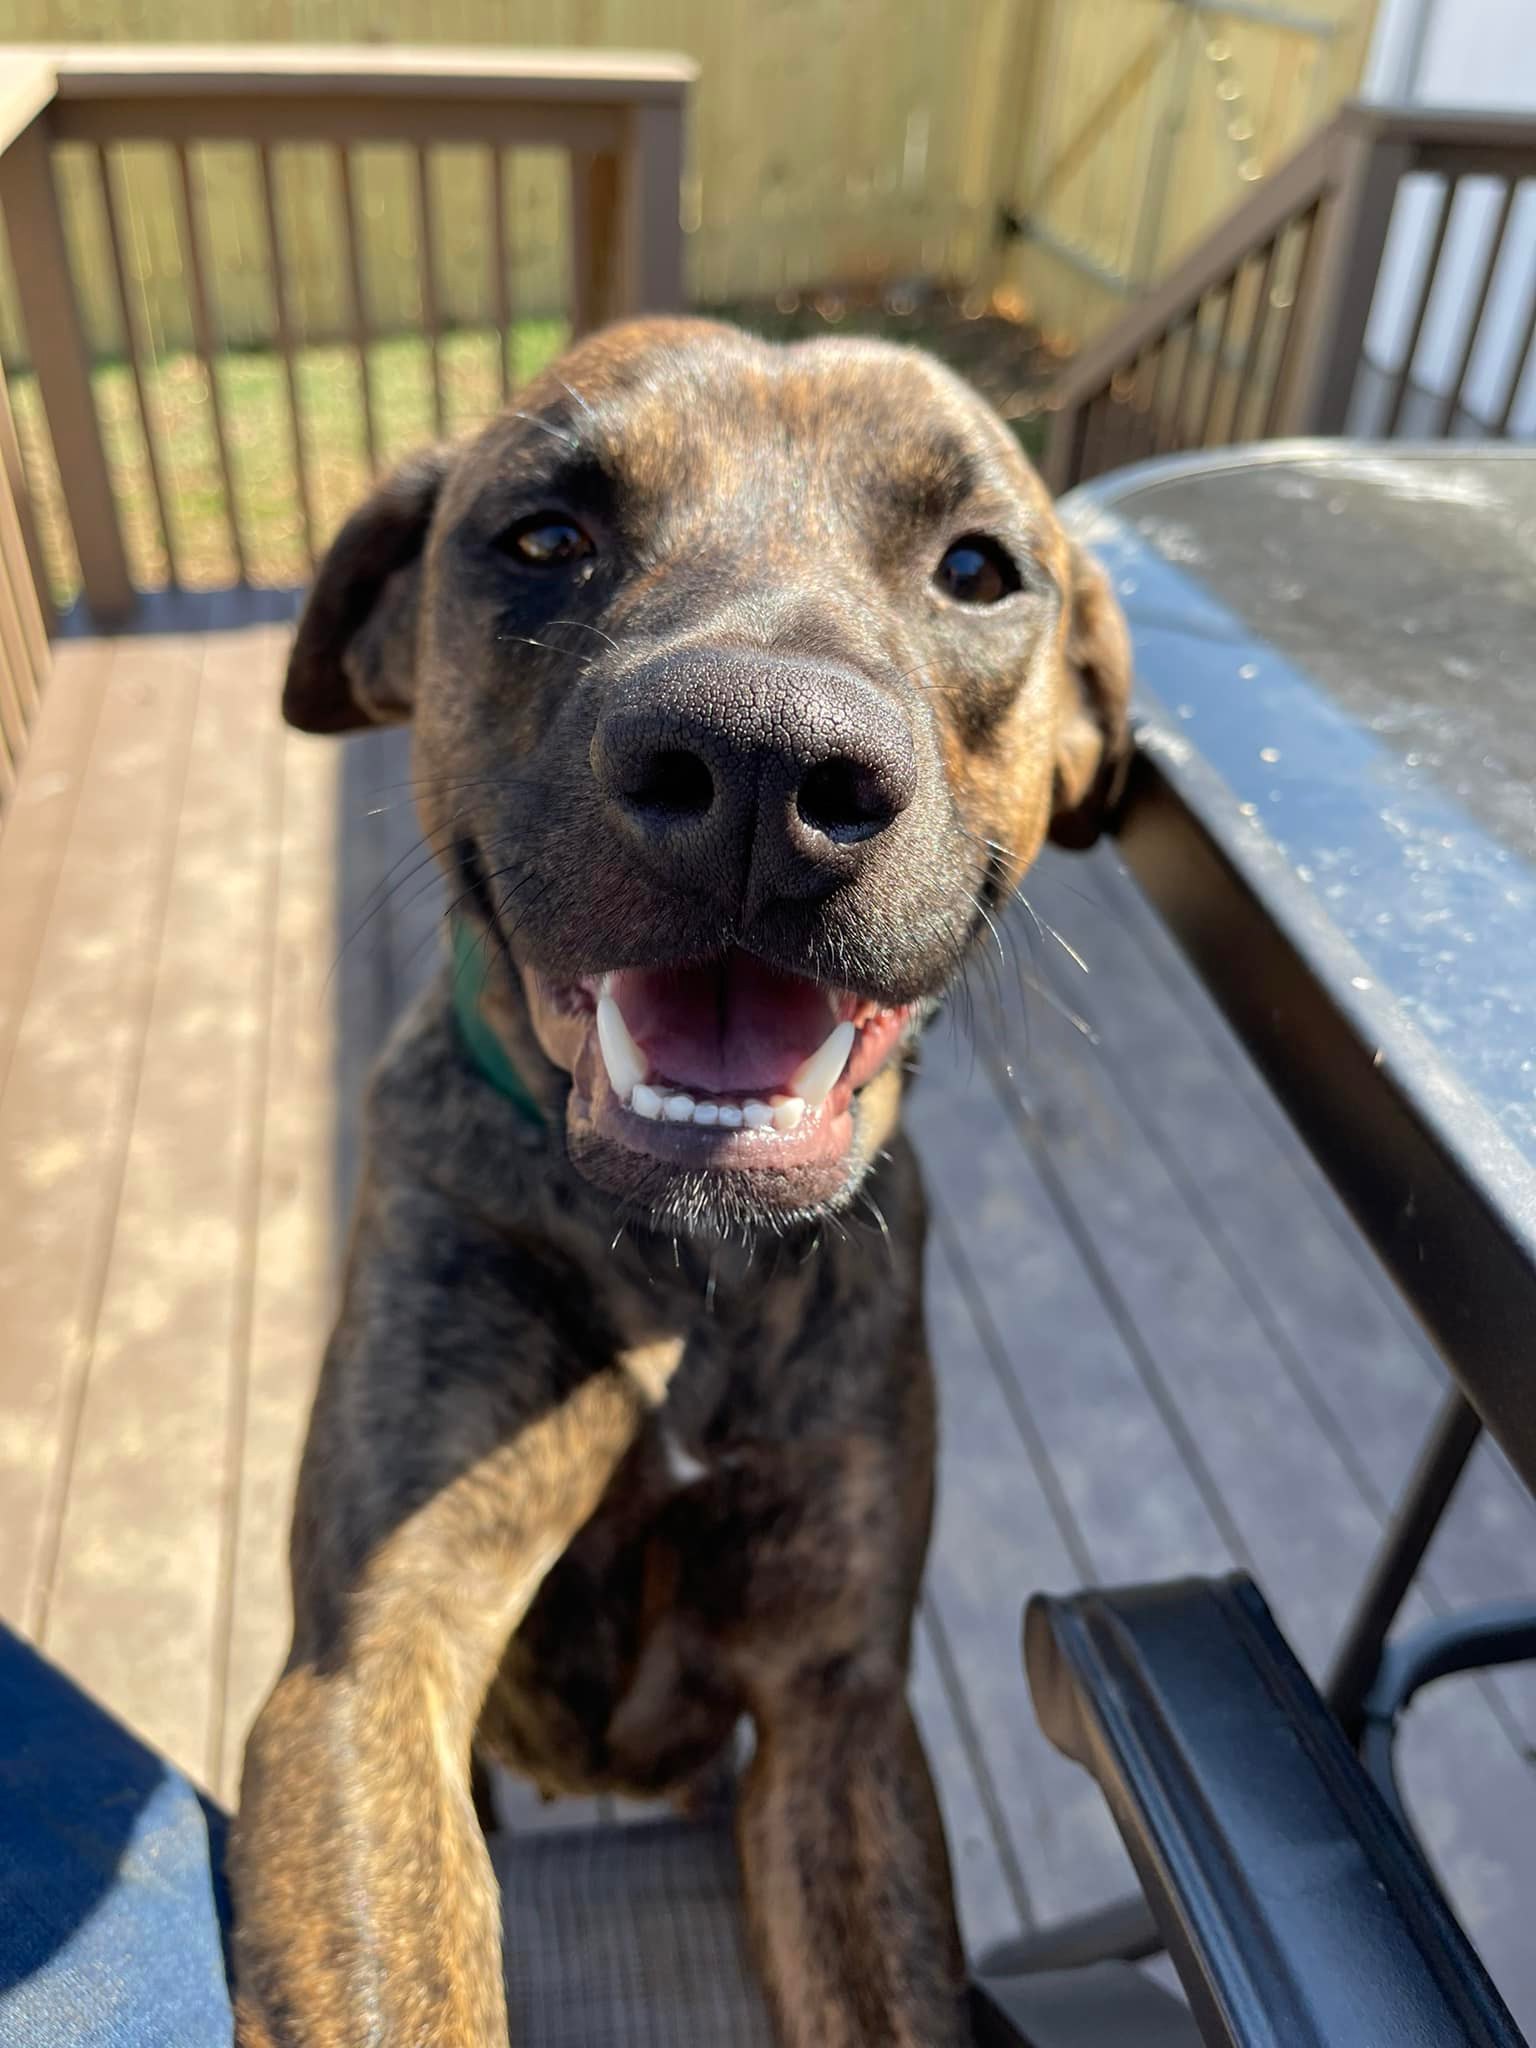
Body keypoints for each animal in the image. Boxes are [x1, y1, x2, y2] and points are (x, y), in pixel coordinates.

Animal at [234, 315, 1138, 2048]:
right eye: (543, 538)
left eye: (977, 566)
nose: (761, 761)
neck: (686, 1270)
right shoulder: (371, 1662)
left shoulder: (837, 1708)